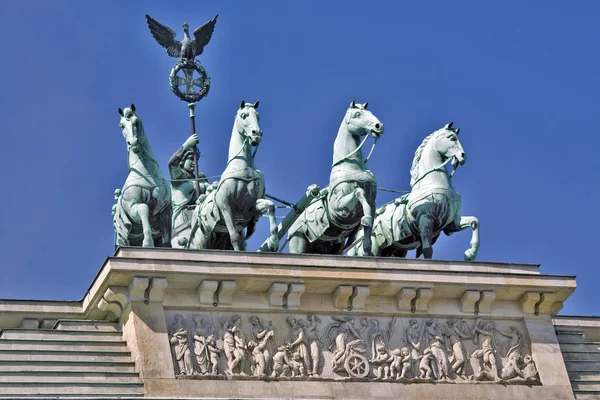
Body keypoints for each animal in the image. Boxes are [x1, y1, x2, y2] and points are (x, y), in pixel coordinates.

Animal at [112, 104, 171, 247]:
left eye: (136, 122)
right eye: (121, 126)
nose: (133, 143)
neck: (146, 173)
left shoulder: (165, 210)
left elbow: (167, 239)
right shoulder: (131, 208)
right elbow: (144, 208)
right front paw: (148, 242)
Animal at [188, 100, 278, 250]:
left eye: (258, 116)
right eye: (244, 115)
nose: (257, 134)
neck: (243, 166)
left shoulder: (252, 207)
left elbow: (270, 205)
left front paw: (274, 240)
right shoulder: (226, 207)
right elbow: (235, 238)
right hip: (200, 243)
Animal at [288, 101, 382, 255]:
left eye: (370, 112)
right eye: (357, 114)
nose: (379, 126)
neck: (351, 167)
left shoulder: (372, 202)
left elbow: (369, 220)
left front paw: (367, 246)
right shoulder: (339, 208)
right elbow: (358, 192)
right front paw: (366, 218)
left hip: (335, 246)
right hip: (298, 240)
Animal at [346, 122, 478, 260]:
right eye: (451, 138)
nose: (463, 156)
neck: (431, 183)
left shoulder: (452, 223)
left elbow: (474, 221)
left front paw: (470, 253)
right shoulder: (425, 219)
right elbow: (428, 250)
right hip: (373, 247)